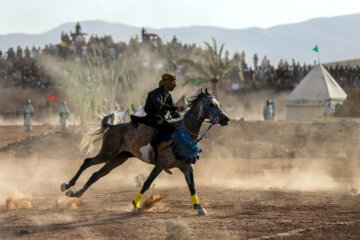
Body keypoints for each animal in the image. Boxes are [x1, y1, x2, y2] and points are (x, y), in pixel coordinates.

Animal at [60, 88, 229, 216]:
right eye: (212, 104)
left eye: (219, 104)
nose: (226, 119)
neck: (181, 135)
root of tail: (112, 127)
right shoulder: (160, 164)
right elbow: (147, 183)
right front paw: (136, 204)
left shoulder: (186, 167)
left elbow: (192, 186)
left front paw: (198, 207)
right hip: (107, 153)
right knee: (87, 162)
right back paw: (67, 185)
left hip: (118, 158)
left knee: (96, 175)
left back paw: (75, 194)